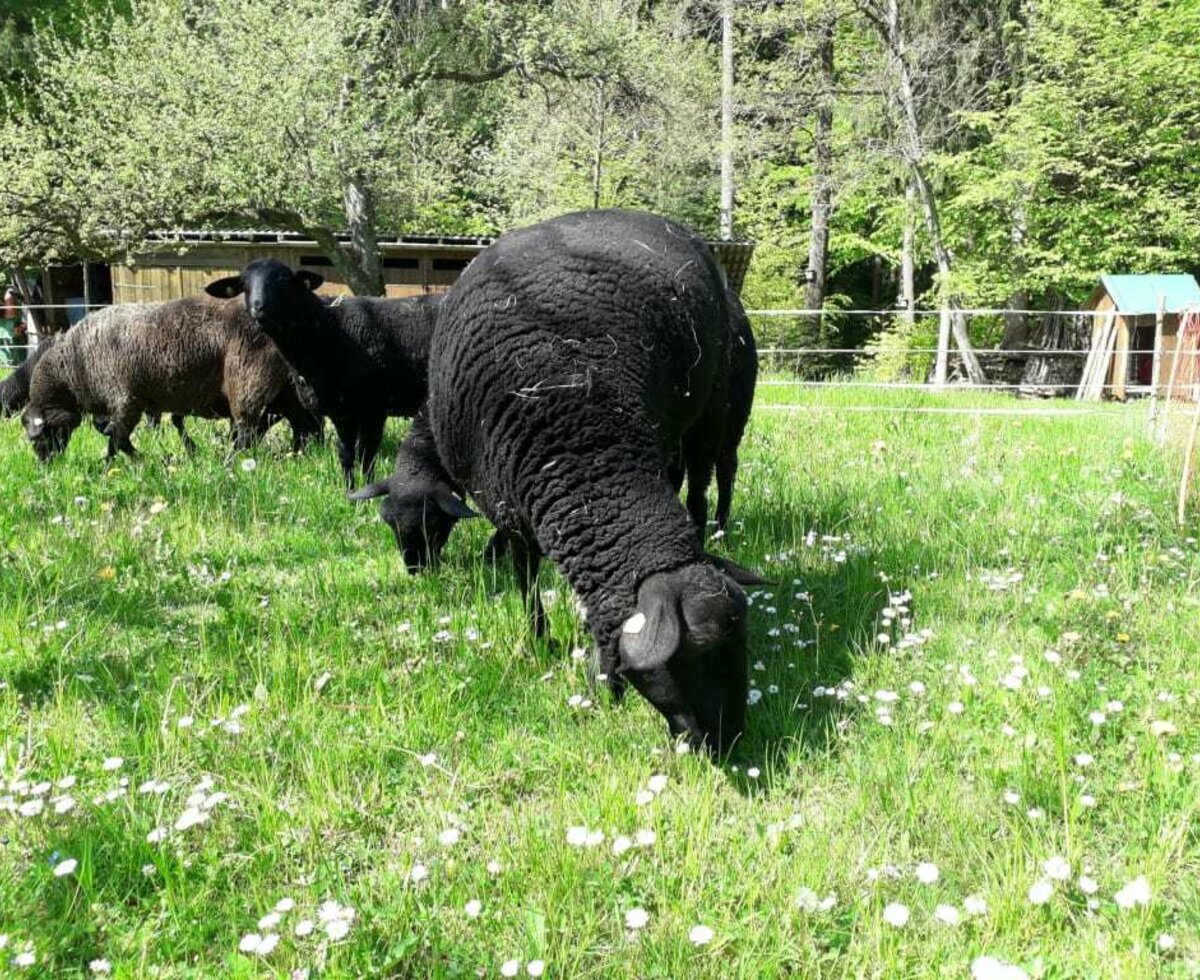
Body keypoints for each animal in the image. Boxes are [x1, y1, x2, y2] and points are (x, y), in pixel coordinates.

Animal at [204, 261, 444, 487]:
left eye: (283, 280)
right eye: (244, 285)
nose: (258, 308)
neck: (329, 330)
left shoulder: (374, 408)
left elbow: (366, 457)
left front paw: (367, 492)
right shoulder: (341, 411)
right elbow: (346, 455)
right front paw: (350, 493)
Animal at [422, 209, 758, 753]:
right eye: (703, 653)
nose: (730, 742)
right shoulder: (509, 506)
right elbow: (525, 579)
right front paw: (541, 639)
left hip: (712, 409)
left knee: (704, 484)